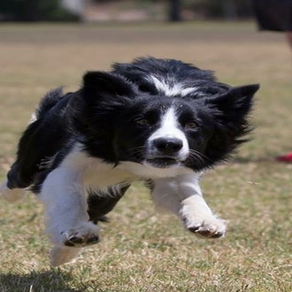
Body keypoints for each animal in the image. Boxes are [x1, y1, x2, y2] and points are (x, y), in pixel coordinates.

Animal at [0, 57, 260, 266]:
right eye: (142, 121)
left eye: (192, 125)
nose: (168, 144)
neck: (168, 90)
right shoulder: (71, 160)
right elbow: (69, 196)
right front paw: (78, 231)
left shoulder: (176, 170)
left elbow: (187, 194)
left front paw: (206, 223)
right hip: (37, 149)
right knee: (18, 176)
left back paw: (61, 255)